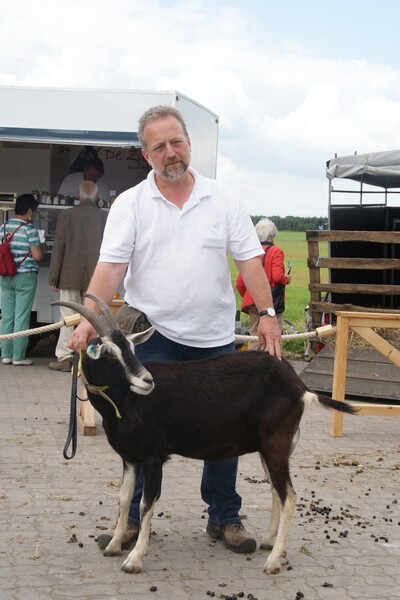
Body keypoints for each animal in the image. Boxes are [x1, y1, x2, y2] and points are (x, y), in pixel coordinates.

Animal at [54, 296, 356, 576]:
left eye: (131, 349)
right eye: (108, 352)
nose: (147, 381)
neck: (128, 403)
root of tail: (300, 386)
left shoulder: (153, 457)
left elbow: (146, 503)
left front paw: (135, 558)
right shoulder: (130, 458)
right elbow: (124, 499)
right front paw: (114, 544)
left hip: (275, 444)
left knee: (289, 495)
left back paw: (273, 561)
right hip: (268, 448)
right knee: (276, 490)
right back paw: (269, 542)